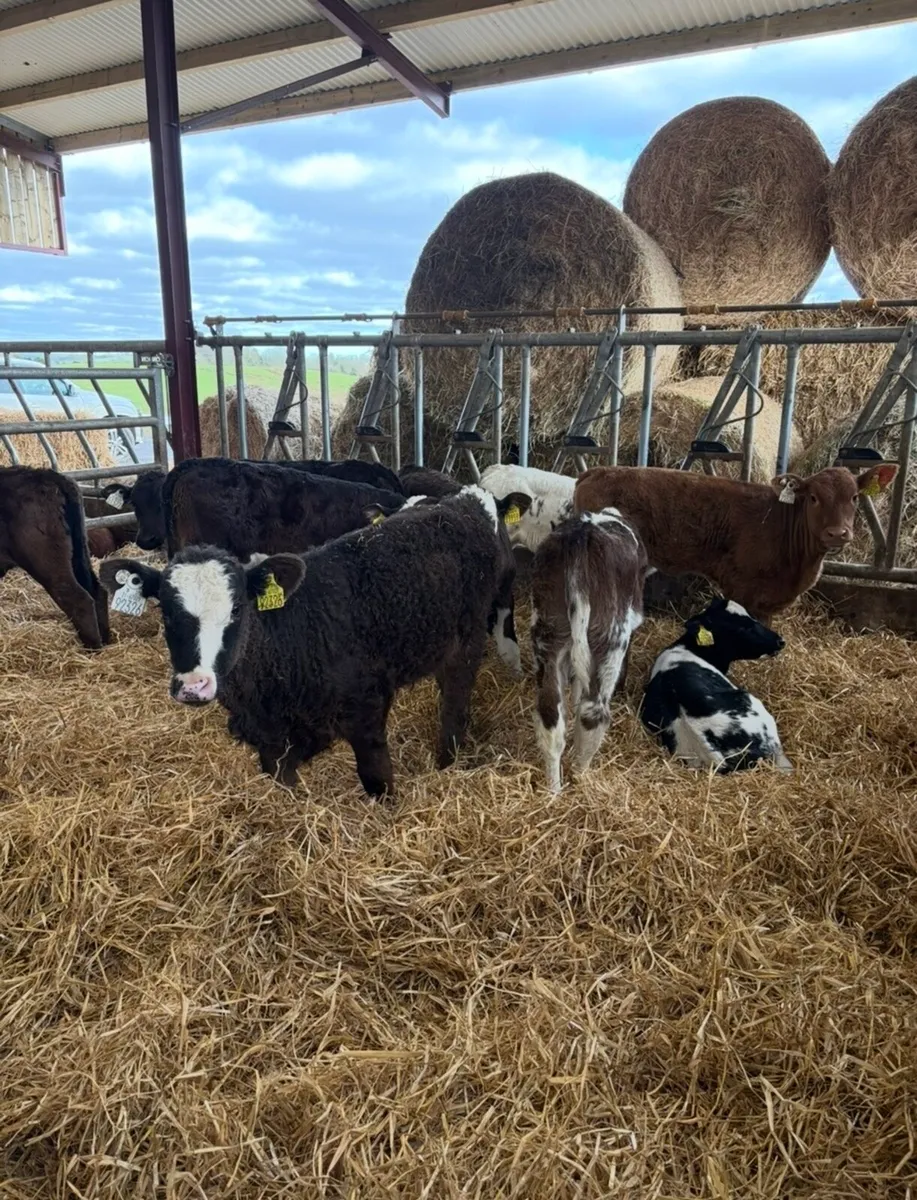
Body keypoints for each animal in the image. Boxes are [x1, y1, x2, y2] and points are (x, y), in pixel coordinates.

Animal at [0, 466, 110, 648]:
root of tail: (47, 475)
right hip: (79, 554)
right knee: (96, 590)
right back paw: (106, 641)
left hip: (46, 562)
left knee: (77, 598)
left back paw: (93, 649)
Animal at [100, 486, 526, 798]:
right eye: (166, 611)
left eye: (238, 609)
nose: (194, 686)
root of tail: (461, 501)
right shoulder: (271, 740)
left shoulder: (366, 709)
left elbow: (378, 781)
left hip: (467, 640)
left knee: (455, 703)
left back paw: (447, 760)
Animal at [530, 507, 647, 792]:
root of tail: (582, 535)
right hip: (610, 636)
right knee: (593, 712)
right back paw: (581, 777)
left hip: (547, 632)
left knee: (550, 713)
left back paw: (554, 790)